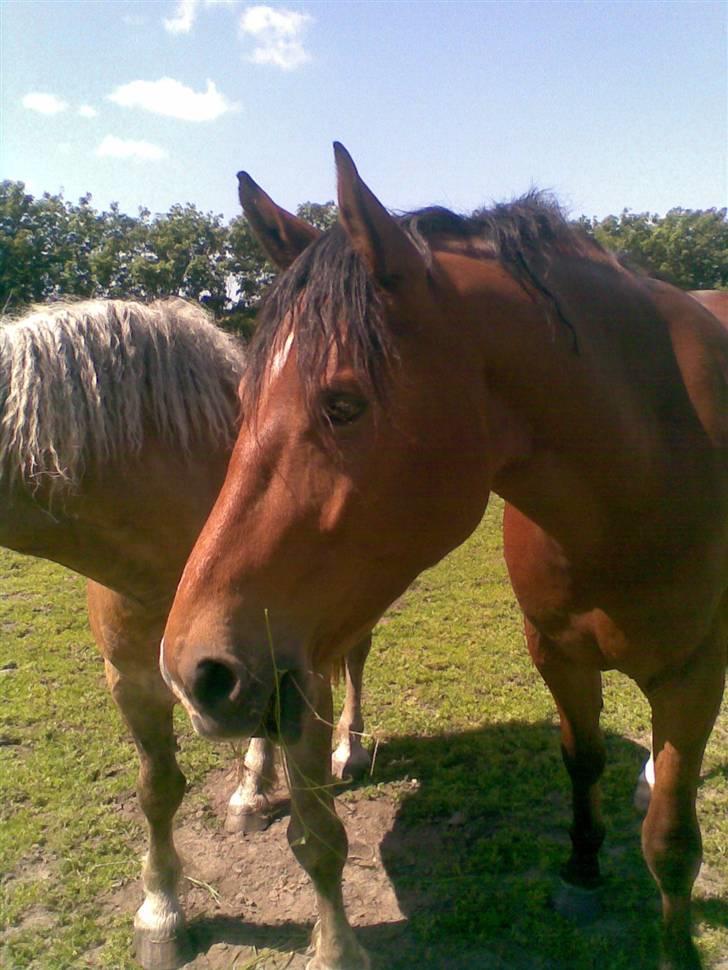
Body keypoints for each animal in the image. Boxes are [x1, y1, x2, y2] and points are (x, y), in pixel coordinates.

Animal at [0, 298, 372, 964]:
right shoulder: (134, 682)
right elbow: (157, 792)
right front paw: (160, 914)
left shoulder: (303, 683)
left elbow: (318, 832)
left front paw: (335, 948)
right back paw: (250, 791)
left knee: (356, 663)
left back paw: (348, 750)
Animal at [162, 146, 728, 968]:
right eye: (242, 398)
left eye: (343, 404)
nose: (193, 671)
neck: (648, 458)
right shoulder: (557, 653)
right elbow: (583, 761)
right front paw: (583, 872)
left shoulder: (694, 676)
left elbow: (673, 843)